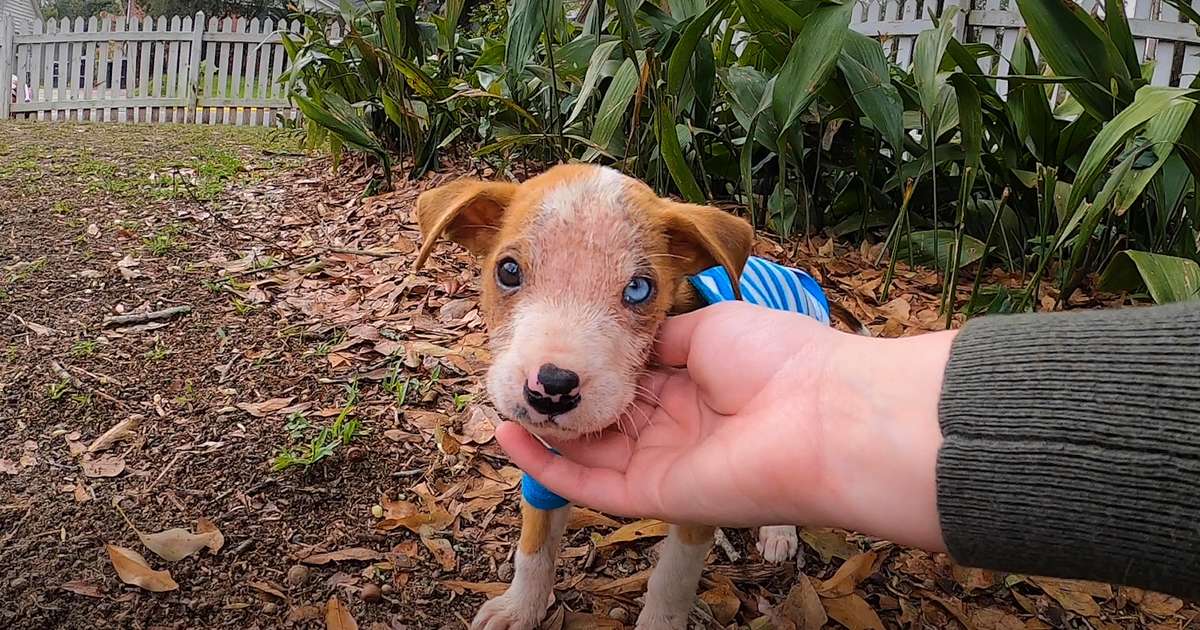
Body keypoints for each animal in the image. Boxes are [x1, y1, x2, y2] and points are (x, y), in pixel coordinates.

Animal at [415, 164, 864, 624]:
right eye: (508, 271)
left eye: (638, 289)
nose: (552, 388)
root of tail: (800, 277)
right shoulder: (544, 472)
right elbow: (534, 550)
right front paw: (520, 609)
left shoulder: (692, 509)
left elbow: (671, 582)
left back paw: (778, 532)